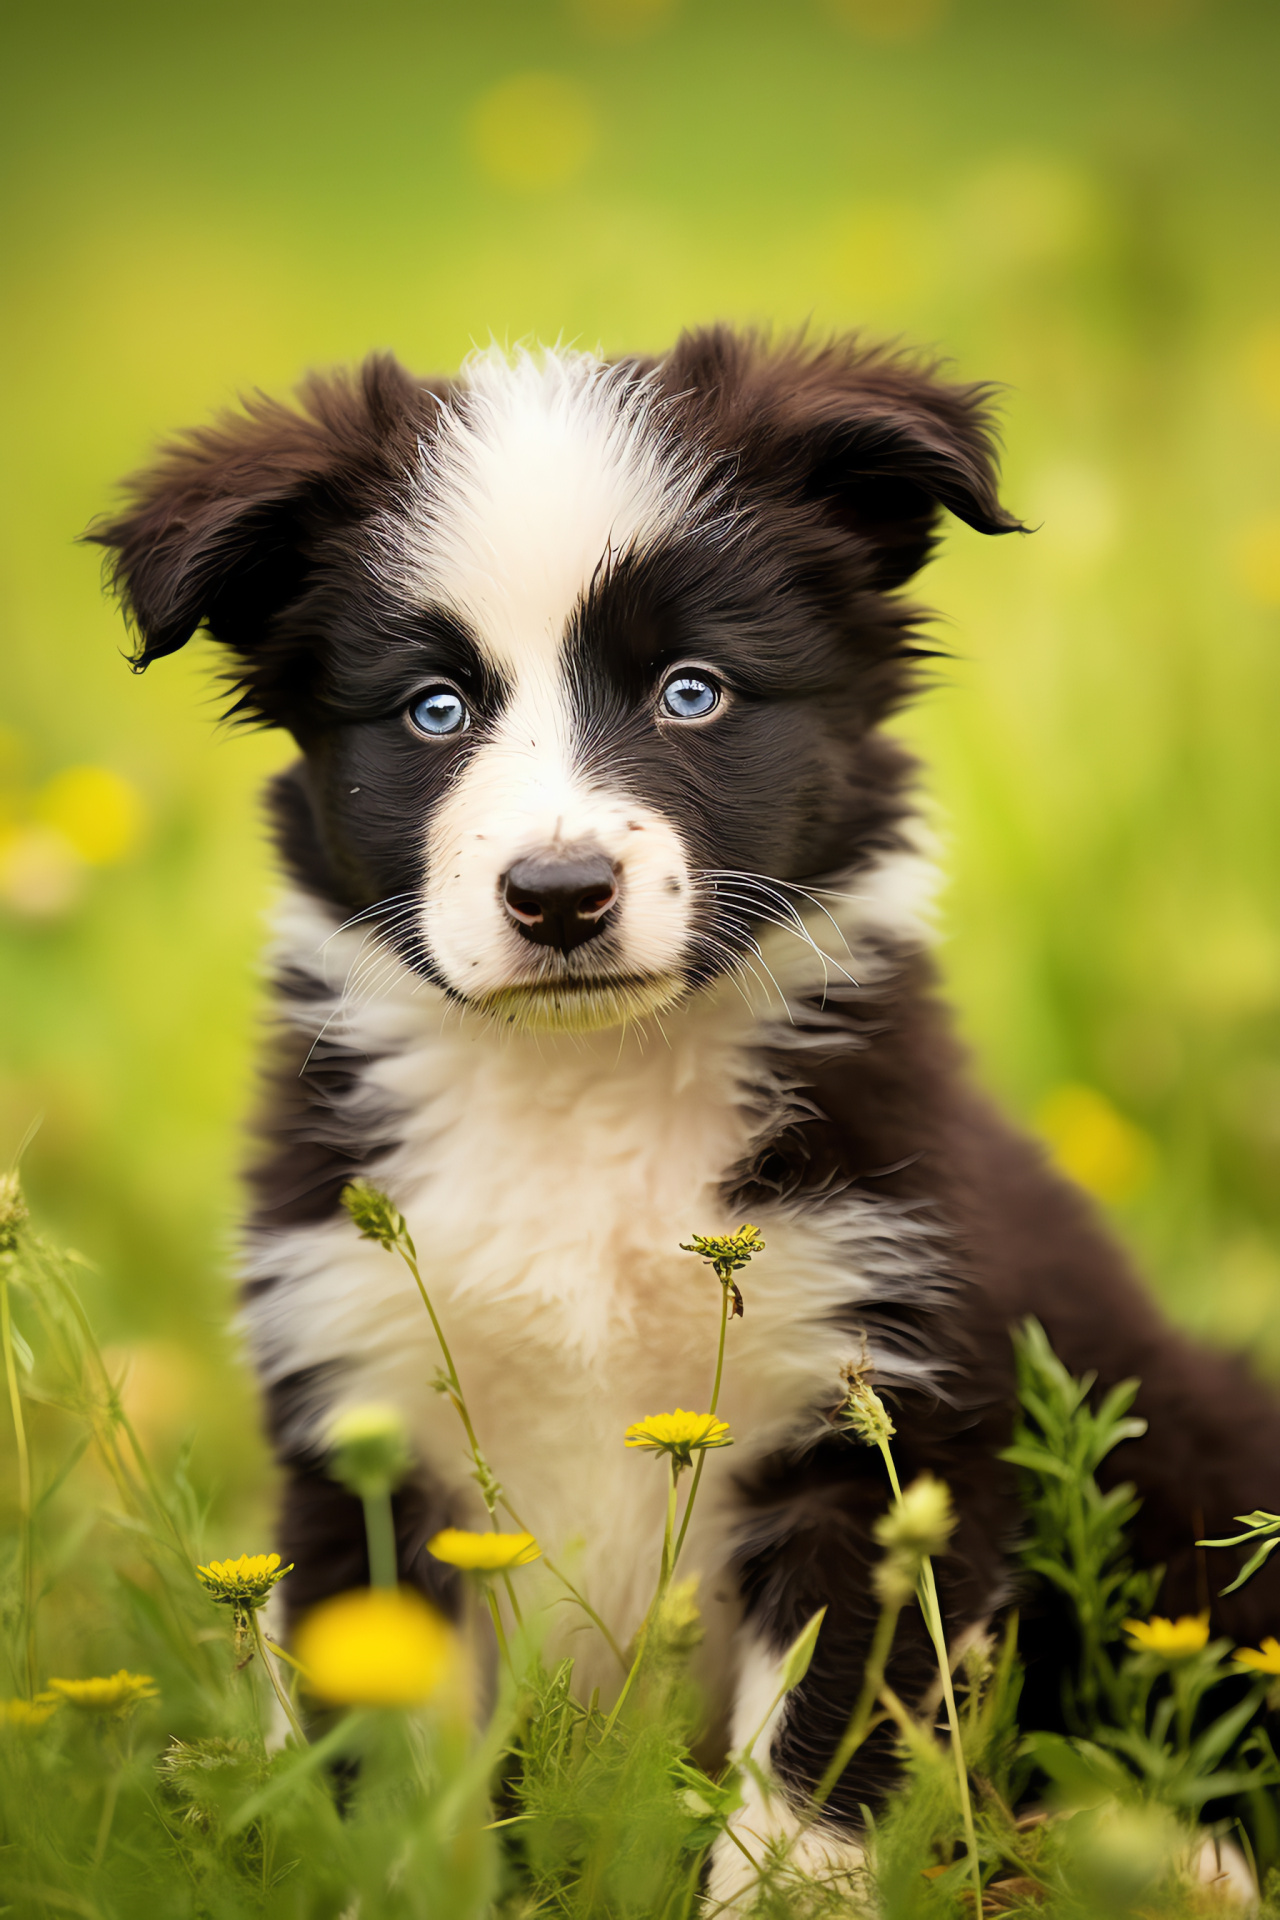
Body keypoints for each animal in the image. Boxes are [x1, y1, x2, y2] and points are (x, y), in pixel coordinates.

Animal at [94, 330, 1280, 1889]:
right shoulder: (360, 1412)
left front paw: (785, 1894)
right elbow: (389, 1771)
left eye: (693, 691)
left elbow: (819, 1752)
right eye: (433, 710)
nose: (558, 895)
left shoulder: (881, 1417)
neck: (585, 1093)